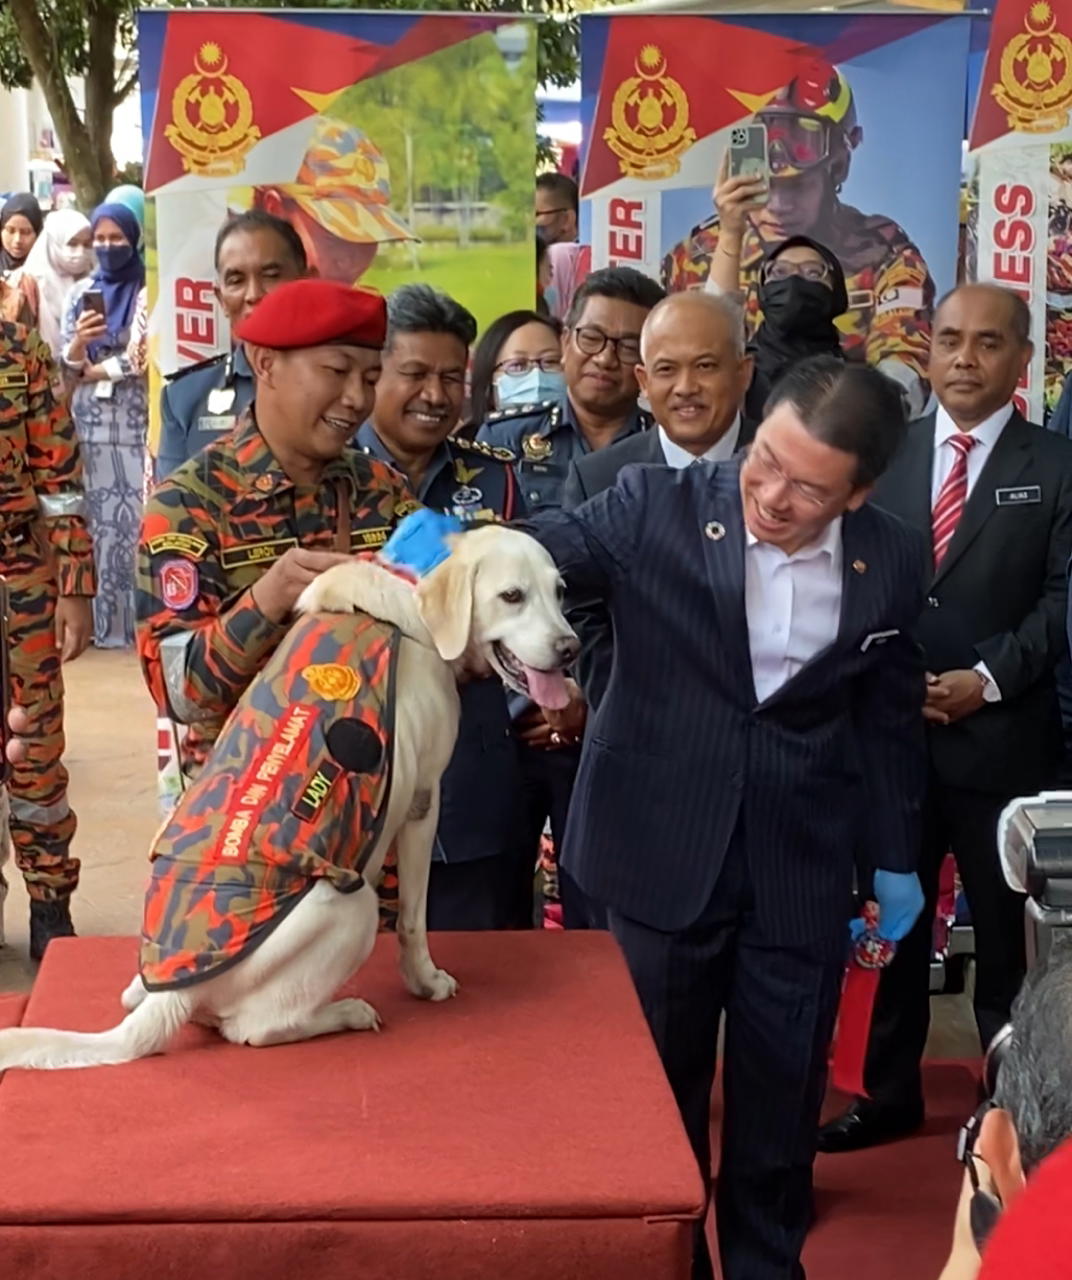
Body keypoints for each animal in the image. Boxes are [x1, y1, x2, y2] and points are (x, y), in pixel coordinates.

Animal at [0, 524, 578, 1075]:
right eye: (511, 596)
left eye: (559, 591)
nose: (571, 648)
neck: (411, 591)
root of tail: (177, 995)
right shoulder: (422, 803)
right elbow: (413, 920)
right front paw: (426, 981)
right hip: (353, 903)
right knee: (254, 1028)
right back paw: (345, 1012)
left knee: (147, 999)